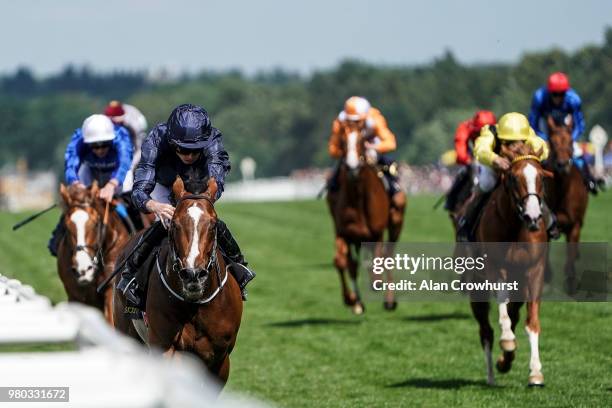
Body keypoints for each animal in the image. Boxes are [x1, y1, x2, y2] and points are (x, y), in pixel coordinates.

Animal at [113, 176, 243, 386]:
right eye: (174, 224)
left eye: (214, 225)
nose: (193, 274)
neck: (196, 305)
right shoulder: (166, 348)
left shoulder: (220, 359)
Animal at [326, 122, 406, 314]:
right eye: (342, 141)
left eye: (362, 140)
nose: (352, 167)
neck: (358, 198)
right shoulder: (344, 232)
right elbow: (342, 262)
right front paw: (352, 300)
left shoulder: (376, 233)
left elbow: (377, 262)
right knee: (355, 264)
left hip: (396, 219)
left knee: (387, 256)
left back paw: (389, 300)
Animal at [468, 143, 556, 386]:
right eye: (514, 178)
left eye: (541, 178)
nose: (533, 216)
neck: (516, 228)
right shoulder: (495, 266)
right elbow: (502, 301)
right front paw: (507, 340)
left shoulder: (535, 271)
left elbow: (531, 321)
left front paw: (535, 372)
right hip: (475, 286)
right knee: (486, 331)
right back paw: (492, 373)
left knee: (514, 315)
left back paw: (505, 361)